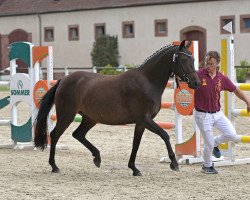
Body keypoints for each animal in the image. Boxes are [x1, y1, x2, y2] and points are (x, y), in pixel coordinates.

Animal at [34, 40, 201, 175]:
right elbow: (165, 135)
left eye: (193, 58)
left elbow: (136, 143)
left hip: (90, 118)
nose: (196, 83)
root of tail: (63, 80)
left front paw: (134, 168)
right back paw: (54, 166)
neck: (147, 81)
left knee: (78, 134)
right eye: (184, 59)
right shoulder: (145, 119)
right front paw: (174, 163)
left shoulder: (141, 123)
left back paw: (97, 157)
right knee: (55, 135)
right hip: (66, 115)